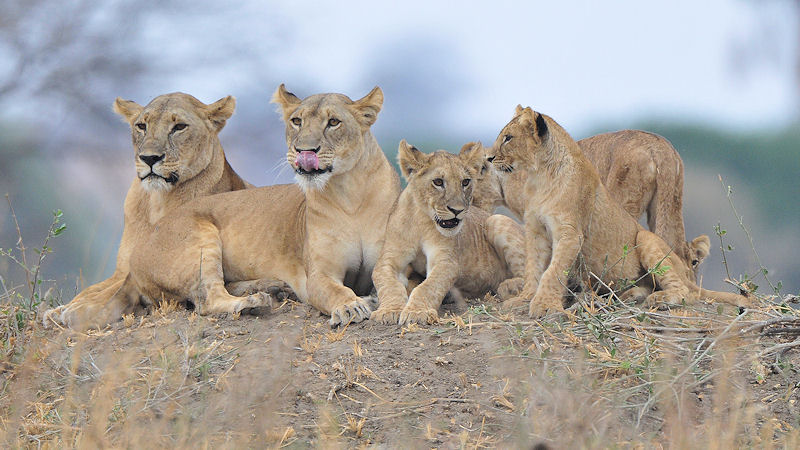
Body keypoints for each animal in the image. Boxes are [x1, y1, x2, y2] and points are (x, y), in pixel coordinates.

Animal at [43, 93, 251, 329]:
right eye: (142, 126)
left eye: (179, 126)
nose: (150, 158)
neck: (156, 201)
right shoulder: (121, 269)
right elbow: (92, 289)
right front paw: (59, 310)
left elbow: (108, 293)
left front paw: (74, 311)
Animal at [67, 85, 401, 329]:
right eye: (297, 121)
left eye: (334, 122)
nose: (303, 150)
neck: (350, 196)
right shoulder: (318, 275)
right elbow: (334, 290)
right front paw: (350, 305)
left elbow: (390, 283)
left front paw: (378, 304)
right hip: (201, 236)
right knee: (207, 300)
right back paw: (255, 302)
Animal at [371, 141, 526, 325]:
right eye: (438, 182)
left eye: (465, 182)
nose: (457, 210)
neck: (421, 219)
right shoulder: (389, 259)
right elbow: (388, 284)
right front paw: (389, 311)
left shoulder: (446, 261)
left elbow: (428, 286)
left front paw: (417, 311)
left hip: (496, 220)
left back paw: (510, 286)